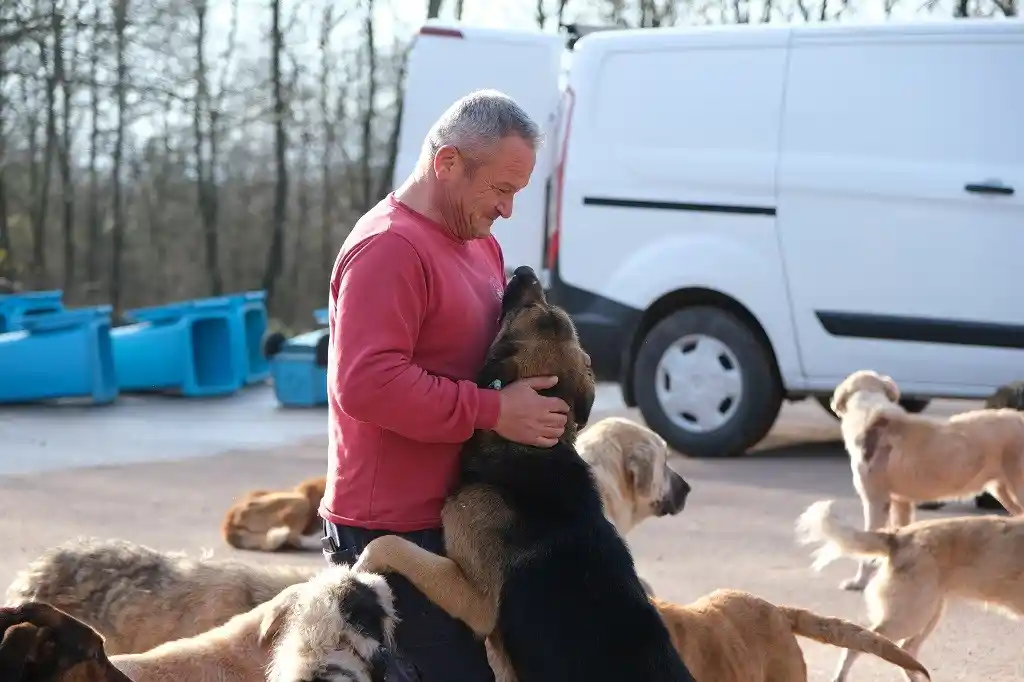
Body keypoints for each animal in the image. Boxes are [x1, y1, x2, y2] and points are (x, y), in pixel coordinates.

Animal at [352, 264, 696, 679]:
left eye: (530, 307)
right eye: (545, 309)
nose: (526, 270)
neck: (533, 451)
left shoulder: (476, 599)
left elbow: (388, 543)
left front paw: (361, 567)